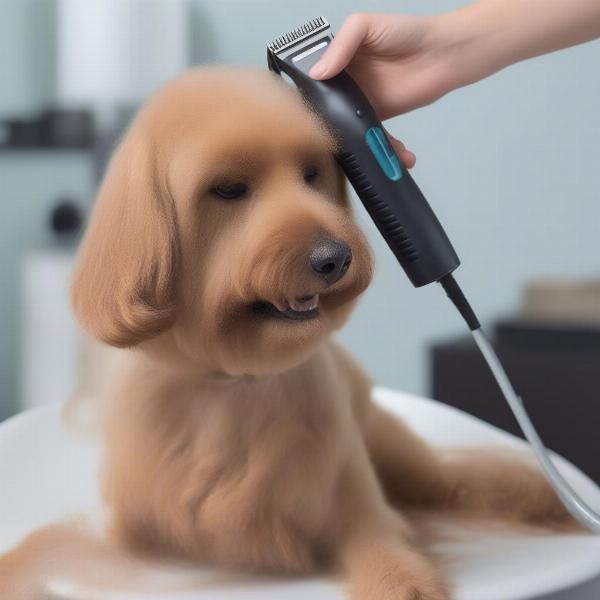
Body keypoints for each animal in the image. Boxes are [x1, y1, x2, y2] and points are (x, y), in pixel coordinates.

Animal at [0, 67, 576, 600]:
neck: (234, 380)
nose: (334, 258)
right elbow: (41, 547)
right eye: (228, 189)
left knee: (457, 479)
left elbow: (387, 550)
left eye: (311, 174)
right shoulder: (131, 529)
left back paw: (550, 498)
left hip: (400, 453)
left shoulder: (352, 497)